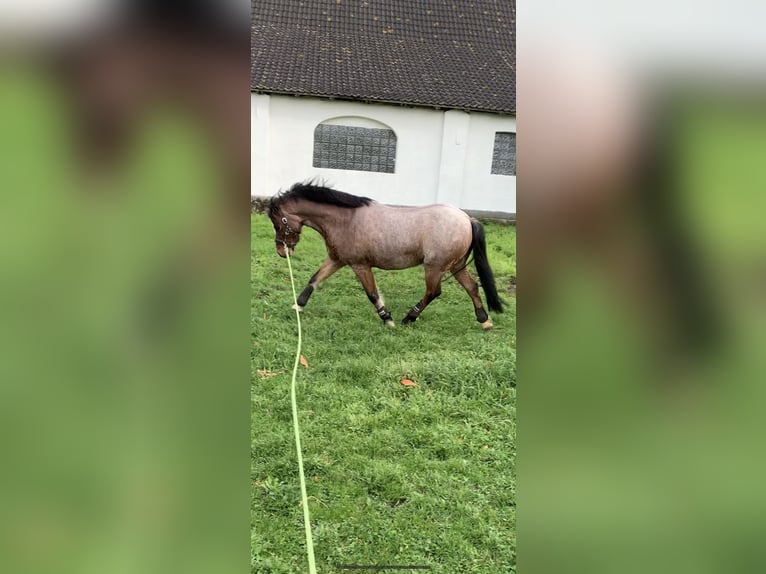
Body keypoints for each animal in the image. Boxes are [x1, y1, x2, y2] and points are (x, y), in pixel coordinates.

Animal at [268, 182, 504, 330]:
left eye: (278, 223)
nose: (282, 251)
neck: (346, 220)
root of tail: (467, 219)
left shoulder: (360, 265)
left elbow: (372, 294)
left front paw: (387, 319)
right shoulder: (337, 260)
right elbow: (314, 280)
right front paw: (298, 305)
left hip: (435, 267)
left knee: (433, 292)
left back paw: (409, 317)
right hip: (456, 266)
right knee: (472, 286)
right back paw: (484, 320)